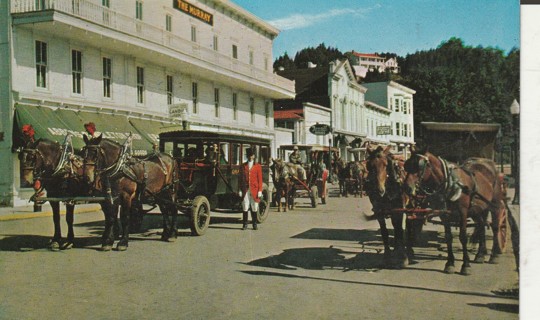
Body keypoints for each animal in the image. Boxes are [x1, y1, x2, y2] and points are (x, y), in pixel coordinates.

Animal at [402, 148, 508, 276]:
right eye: (407, 165)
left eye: (419, 166)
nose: (406, 187)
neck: (451, 183)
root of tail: (490, 164)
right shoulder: (444, 213)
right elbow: (448, 237)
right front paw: (450, 264)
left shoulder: (462, 212)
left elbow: (463, 237)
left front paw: (466, 265)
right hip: (477, 210)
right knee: (481, 226)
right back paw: (480, 255)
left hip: (495, 204)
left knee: (496, 226)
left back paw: (494, 255)